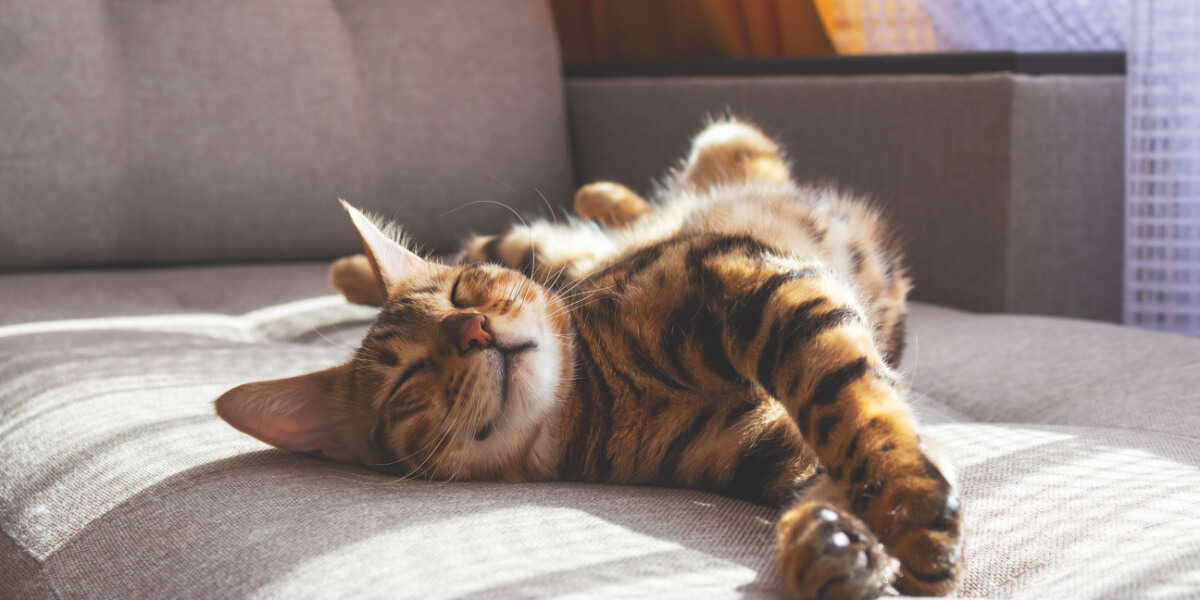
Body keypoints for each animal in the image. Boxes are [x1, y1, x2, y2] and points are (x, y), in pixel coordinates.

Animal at [218, 119, 964, 597]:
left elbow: (850, 405)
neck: (601, 397)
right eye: (408, 378)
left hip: (669, 182)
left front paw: (905, 506)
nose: (474, 330)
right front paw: (833, 546)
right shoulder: (765, 444)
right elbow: (829, 457)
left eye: (462, 293)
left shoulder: (744, 274)